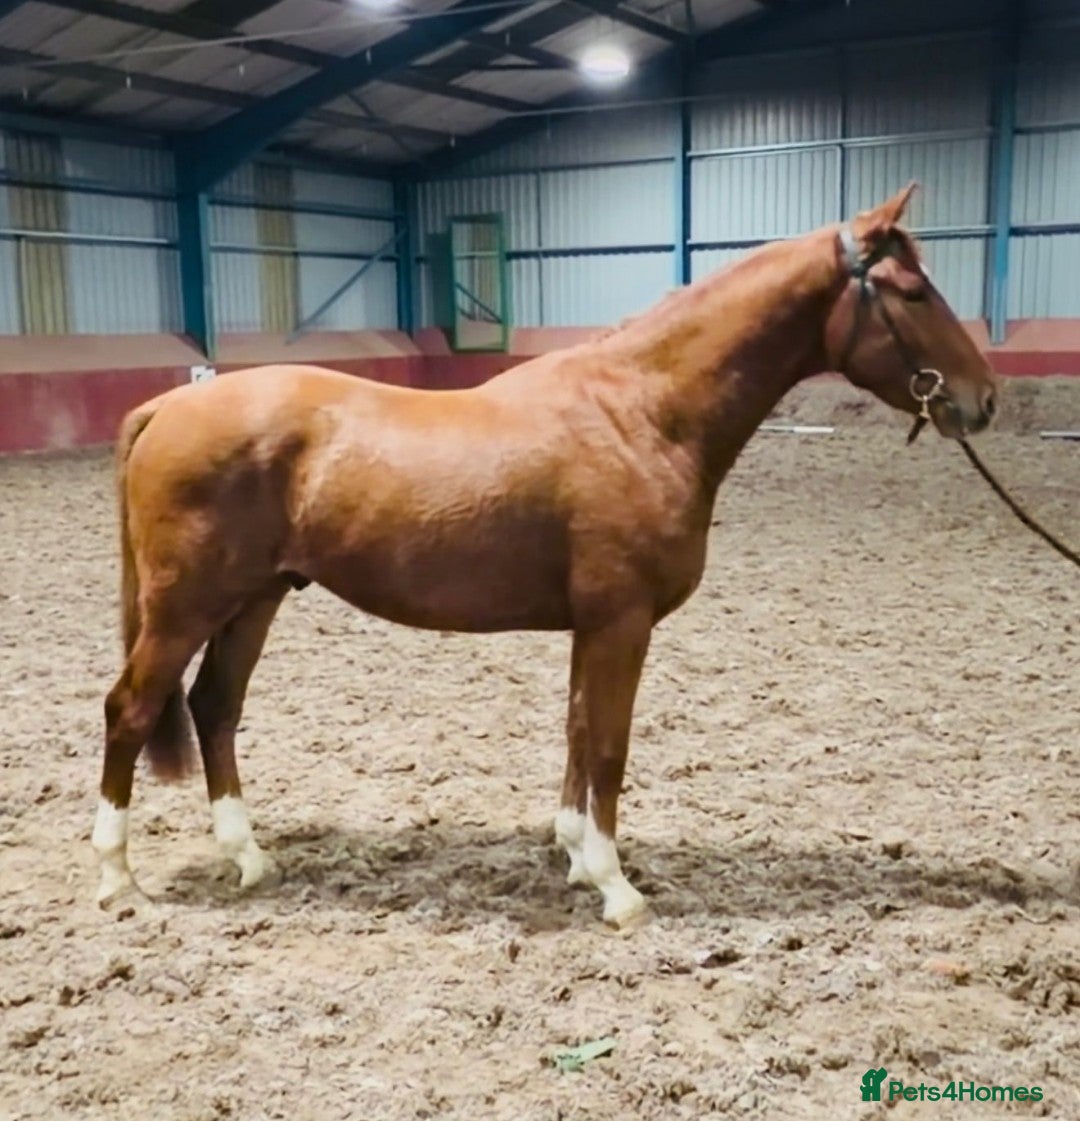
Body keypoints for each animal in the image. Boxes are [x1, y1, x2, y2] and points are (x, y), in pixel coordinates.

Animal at [92, 183, 998, 927]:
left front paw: (573, 854)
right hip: (186, 607)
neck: (641, 413)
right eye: (913, 291)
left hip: (257, 598)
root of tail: (171, 404)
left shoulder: (590, 625)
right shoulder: (622, 622)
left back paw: (246, 856)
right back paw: (117, 878)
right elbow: (609, 746)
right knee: (131, 709)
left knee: (214, 707)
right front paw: (616, 885)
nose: (983, 400)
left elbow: (575, 728)